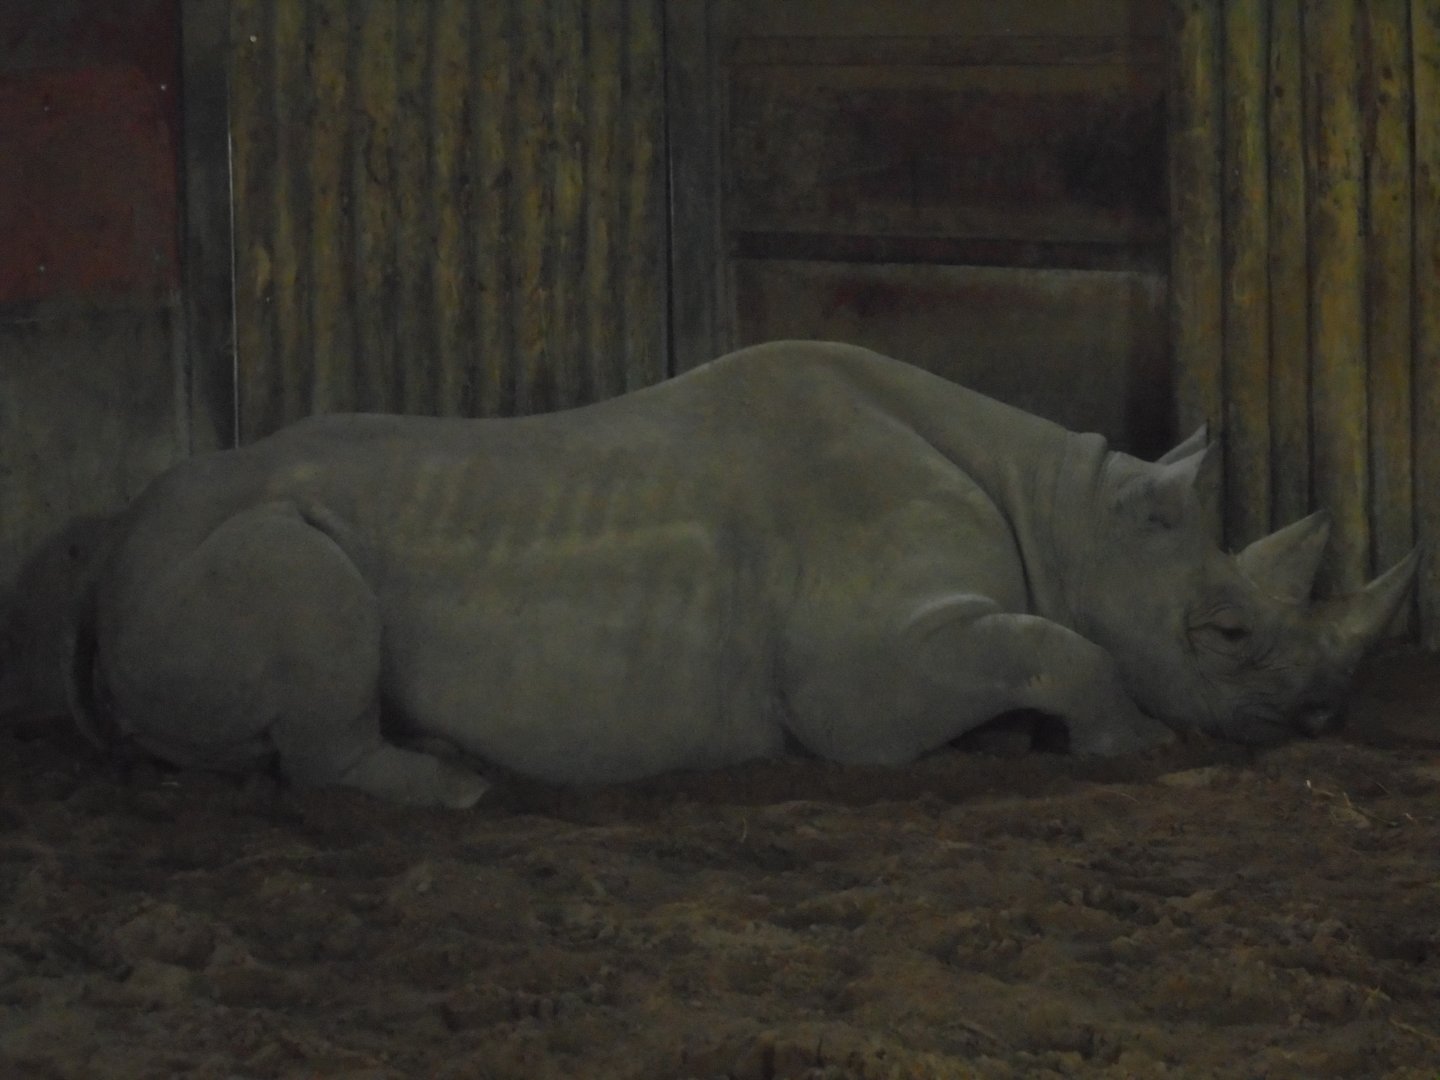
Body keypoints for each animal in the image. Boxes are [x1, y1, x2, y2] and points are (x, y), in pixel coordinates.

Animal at [43, 341, 1417, 807]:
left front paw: (1017, 742)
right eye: (1225, 633)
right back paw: (460, 791)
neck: (1068, 514)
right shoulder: (858, 675)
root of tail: (103, 572)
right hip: (229, 549)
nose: (1320, 718)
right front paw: (1130, 746)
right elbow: (1055, 644)